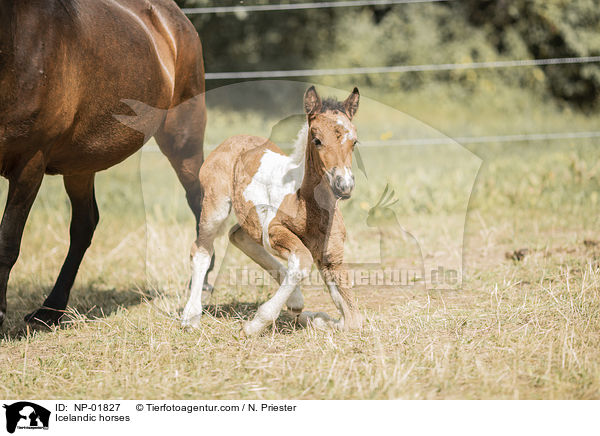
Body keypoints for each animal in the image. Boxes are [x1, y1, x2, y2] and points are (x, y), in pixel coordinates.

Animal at [0, 0, 206, 328]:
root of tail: (176, 19)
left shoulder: (29, 163)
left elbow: (7, 241)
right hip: (80, 165)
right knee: (84, 225)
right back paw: (50, 310)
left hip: (183, 139)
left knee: (200, 202)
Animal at [180, 87, 364, 336]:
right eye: (317, 140)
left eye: (354, 141)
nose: (343, 185)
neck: (306, 203)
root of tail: (230, 140)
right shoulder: (274, 230)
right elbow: (302, 261)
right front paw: (254, 325)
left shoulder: (331, 257)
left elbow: (353, 320)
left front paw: (315, 319)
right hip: (215, 206)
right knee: (202, 251)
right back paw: (191, 317)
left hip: (251, 217)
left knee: (237, 235)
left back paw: (296, 301)